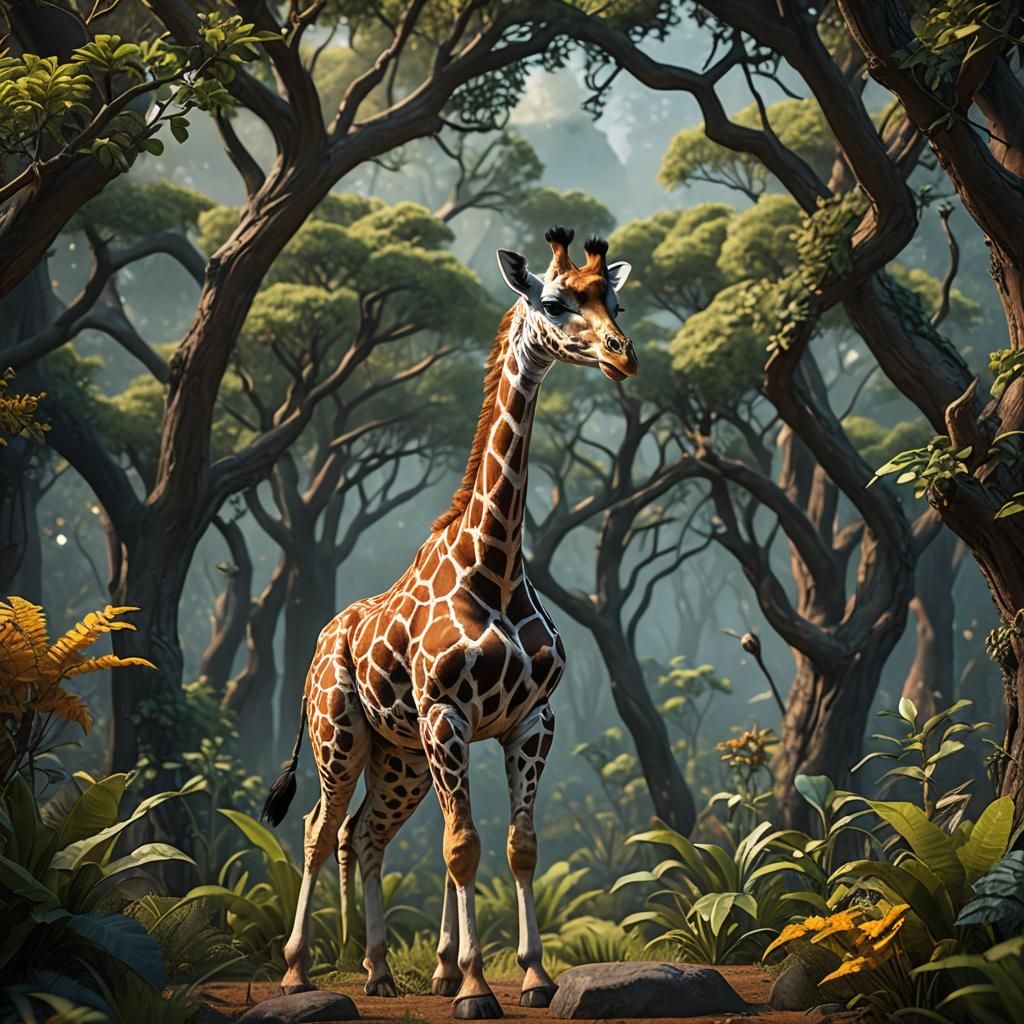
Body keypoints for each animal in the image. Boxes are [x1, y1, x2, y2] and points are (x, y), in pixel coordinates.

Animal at [262, 225, 636, 1020]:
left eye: (614, 301)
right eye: (556, 303)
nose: (624, 354)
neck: (494, 566)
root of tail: (320, 642)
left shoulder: (531, 720)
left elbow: (518, 847)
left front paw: (531, 976)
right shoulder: (447, 715)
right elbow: (462, 846)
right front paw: (471, 986)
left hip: (396, 756)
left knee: (364, 834)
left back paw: (377, 970)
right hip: (339, 735)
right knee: (317, 830)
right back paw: (298, 971)